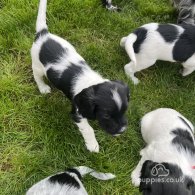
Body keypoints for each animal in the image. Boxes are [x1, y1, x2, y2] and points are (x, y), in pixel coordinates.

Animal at [31, 0, 129, 152]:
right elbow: (88, 129)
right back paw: (43, 88)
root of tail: (43, 34)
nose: (122, 131)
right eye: (106, 115)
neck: (92, 82)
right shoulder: (77, 112)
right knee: (37, 76)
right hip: (37, 64)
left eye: (125, 110)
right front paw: (93, 145)